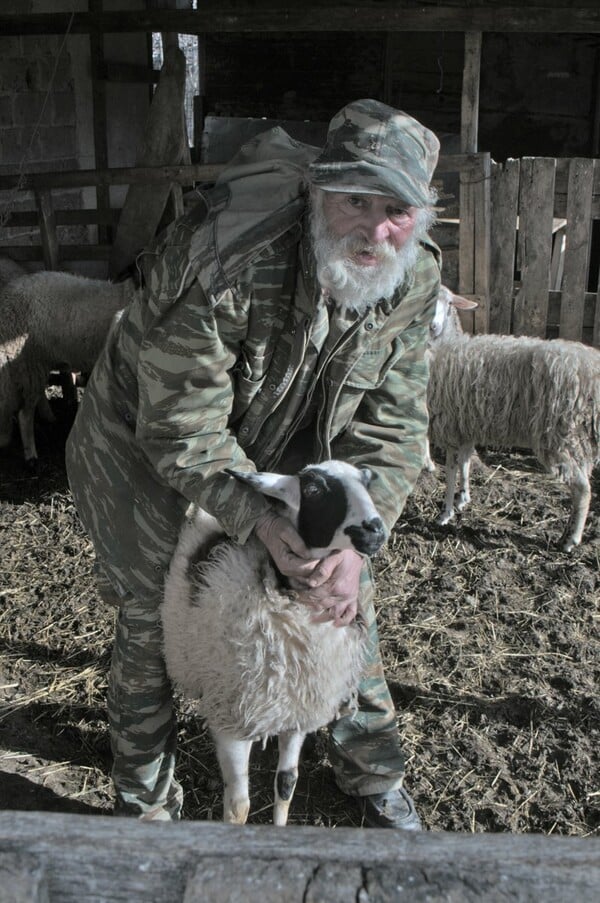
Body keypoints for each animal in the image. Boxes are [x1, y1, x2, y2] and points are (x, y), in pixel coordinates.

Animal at [161, 462, 384, 828]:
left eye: (367, 482)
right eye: (313, 490)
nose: (376, 531)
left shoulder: (297, 712)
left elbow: (286, 784)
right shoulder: (232, 718)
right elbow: (239, 807)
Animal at [426, 286, 600, 552]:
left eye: (449, 303)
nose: (432, 326)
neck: (445, 346)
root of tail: (592, 371)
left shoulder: (452, 427)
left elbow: (452, 472)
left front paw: (445, 513)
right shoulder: (466, 427)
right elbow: (465, 465)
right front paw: (462, 499)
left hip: (560, 435)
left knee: (582, 490)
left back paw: (571, 540)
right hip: (578, 439)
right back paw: (566, 533)